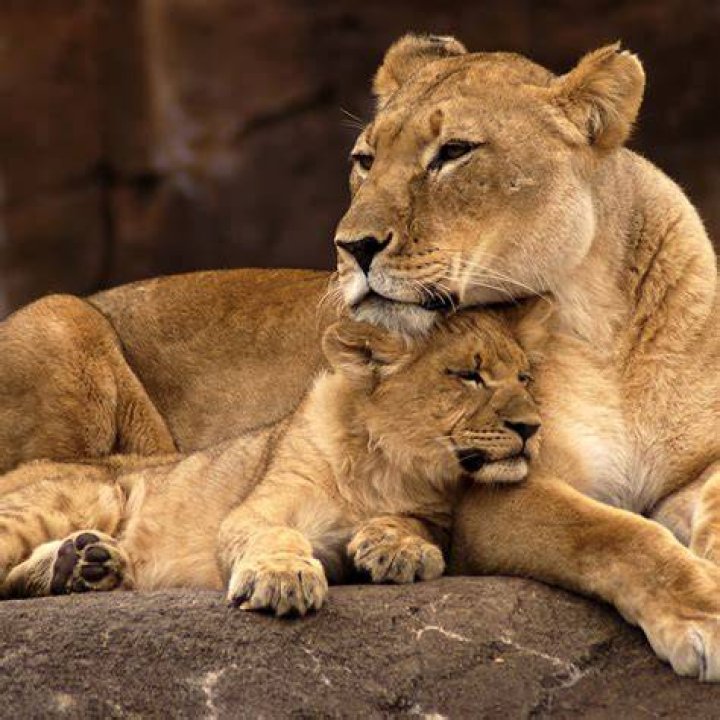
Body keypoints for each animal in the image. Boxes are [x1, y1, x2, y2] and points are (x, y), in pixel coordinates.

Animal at [0, 312, 540, 616]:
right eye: (469, 375)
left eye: (525, 378)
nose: (532, 427)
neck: (388, 468)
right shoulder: (254, 509)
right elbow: (275, 534)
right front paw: (283, 579)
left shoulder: (432, 514)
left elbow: (414, 525)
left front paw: (397, 548)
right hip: (84, 495)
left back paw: (85, 565)